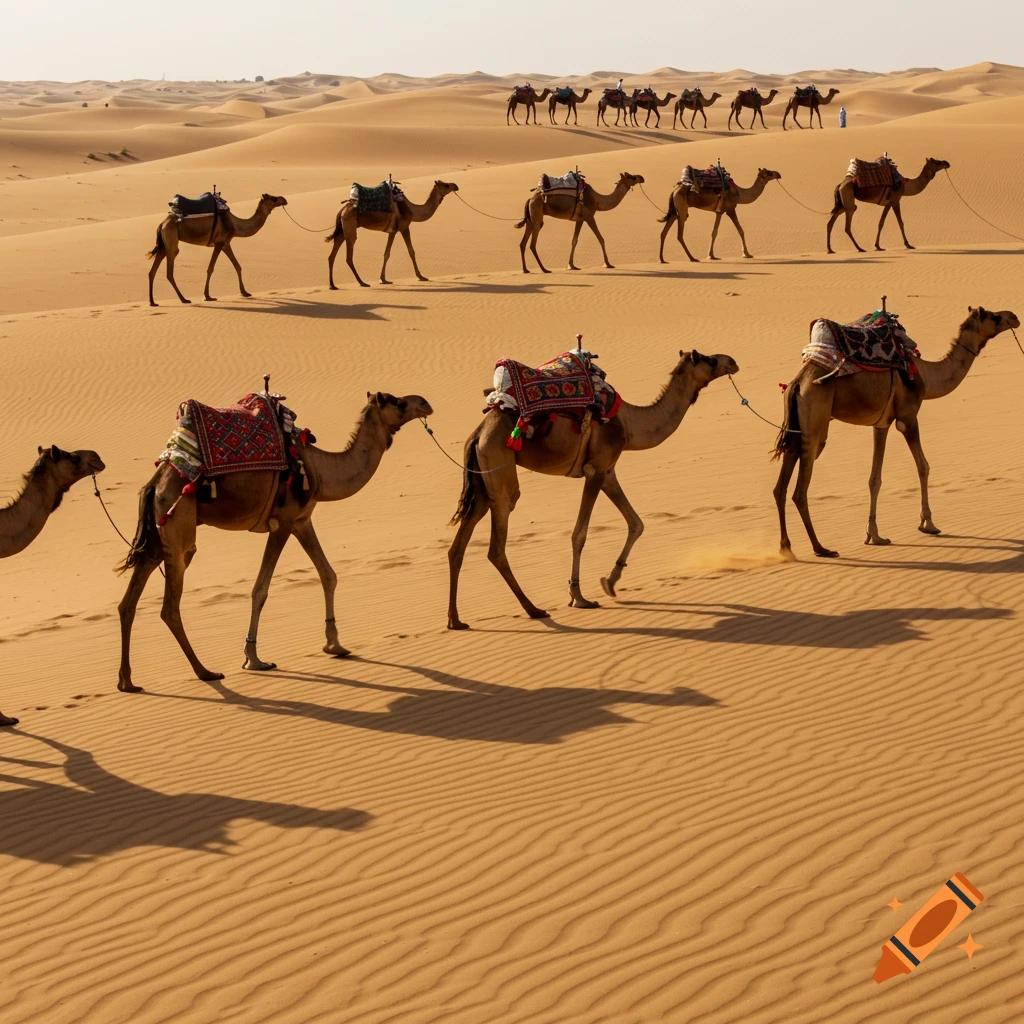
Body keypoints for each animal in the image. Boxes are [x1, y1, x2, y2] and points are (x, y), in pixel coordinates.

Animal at [115, 392, 432, 693]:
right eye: (400, 403)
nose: (425, 403)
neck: (319, 468)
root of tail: (154, 484)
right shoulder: (284, 521)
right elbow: (260, 589)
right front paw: (253, 659)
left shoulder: (303, 521)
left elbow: (328, 575)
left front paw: (335, 645)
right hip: (178, 525)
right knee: (170, 605)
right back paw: (205, 671)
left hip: (157, 538)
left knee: (128, 602)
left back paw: (127, 682)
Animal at [146, 193, 288, 306]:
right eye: (273, 199)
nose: (284, 199)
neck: (235, 224)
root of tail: (162, 223)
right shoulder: (219, 243)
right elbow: (210, 268)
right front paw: (207, 296)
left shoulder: (226, 244)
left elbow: (237, 266)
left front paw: (245, 292)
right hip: (171, 240)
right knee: (169, 271)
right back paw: (184, 299)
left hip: (164, 244)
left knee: (152, 271)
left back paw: (153, 302)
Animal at [326, 180, 459, 288]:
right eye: (446, 185)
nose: (456, 186)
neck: (412, 211)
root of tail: (342, 210)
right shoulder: (404, 227)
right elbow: (411, 251)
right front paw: (421, 276)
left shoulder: (392, 231)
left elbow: (386, 253)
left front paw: (383, 279)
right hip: (350, 227)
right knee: (349, 256)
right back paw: (362, 283)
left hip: (343, 229)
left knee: (332, 254)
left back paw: (333, 285)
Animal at [446, 349, 739, 628]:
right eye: (710, 360)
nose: (733, 362)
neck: (630, 424)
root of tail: (477, 435)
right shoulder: (595, 469)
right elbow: (580, 534)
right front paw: (579, 596)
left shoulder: (608, 471)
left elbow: (636, 523)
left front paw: (610, 582)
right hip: (500, 469)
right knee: (498, 543)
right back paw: (534, 609)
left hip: (481, 484)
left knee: (458, 547)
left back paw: (456, 620)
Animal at [772, 306, 1019, 558]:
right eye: (994, 317)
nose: (1014, 317)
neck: (926, 376)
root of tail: (796, 383)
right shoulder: (908, 417)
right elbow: (923, 466)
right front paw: (928, 524)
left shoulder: (881, 424)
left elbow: (875, 478)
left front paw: (874, 535)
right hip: (815, 424)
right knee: (800, 490)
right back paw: (820, 548)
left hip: (797, 427)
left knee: (780, 486)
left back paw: (786, 547)